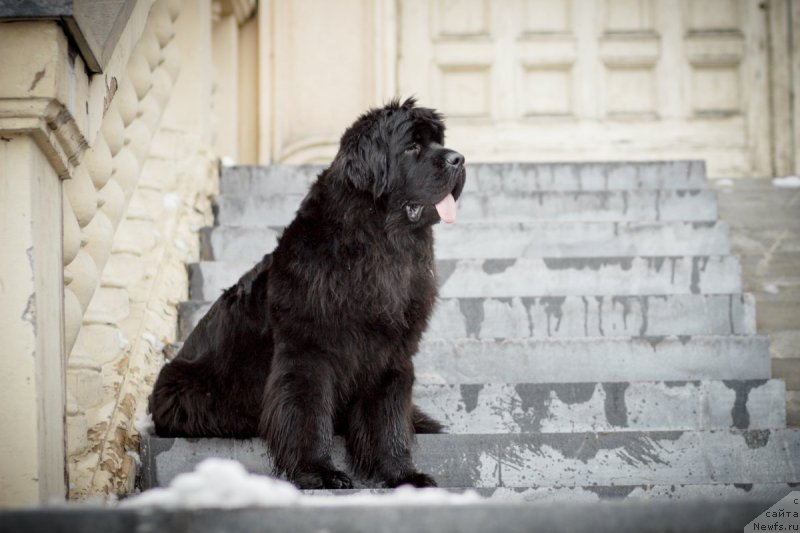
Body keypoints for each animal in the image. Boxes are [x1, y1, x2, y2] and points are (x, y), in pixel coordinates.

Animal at [148, 97, 466, 488]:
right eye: (412, 147)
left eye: (438, 141)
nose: (459, 159)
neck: (380, 248)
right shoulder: (308, 352)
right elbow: (308, 415)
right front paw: (319, 471)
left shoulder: (392, 352)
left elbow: (388, 417)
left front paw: (402, 474)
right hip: (186, 390)